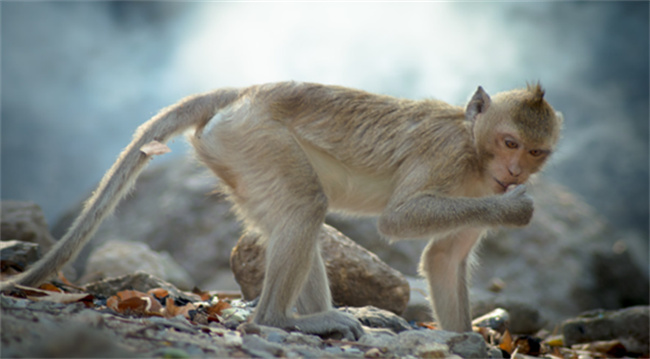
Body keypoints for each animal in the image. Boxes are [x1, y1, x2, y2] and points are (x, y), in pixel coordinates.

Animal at [0, 81, 560, 340]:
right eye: (508, 141)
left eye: (535, 151)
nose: (515, 172)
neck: (474, 150)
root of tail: (245, 92)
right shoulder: (444, 157)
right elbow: (397, 220)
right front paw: (517, 210)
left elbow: (443, 259)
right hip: (255, 137)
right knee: (307, 207)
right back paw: (278, 321)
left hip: (236, 154)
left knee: (294, 215)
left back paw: (314, 317)